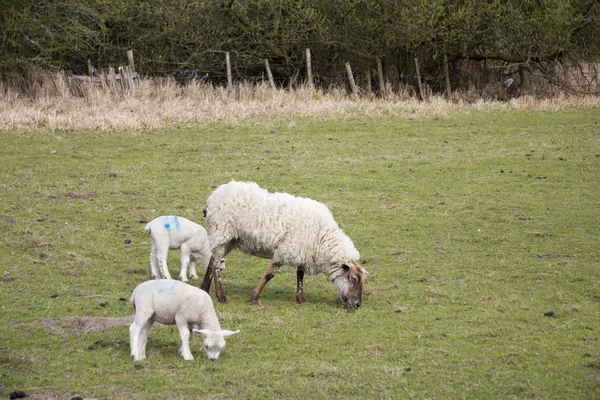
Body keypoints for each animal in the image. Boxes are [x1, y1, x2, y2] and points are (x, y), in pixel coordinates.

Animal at [202, 180, 368, 312]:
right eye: (353, 279)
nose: (358, 304)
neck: (321, 240)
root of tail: (213, 196)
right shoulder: (285, 251)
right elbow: (270, 275)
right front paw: (254, 298)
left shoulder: (301, 251)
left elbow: (300, 275)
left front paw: (301, 299)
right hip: (222, 232)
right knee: (216, 264)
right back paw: (221, 296)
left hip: (228, 239)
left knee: (212, 260)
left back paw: (204, 288)